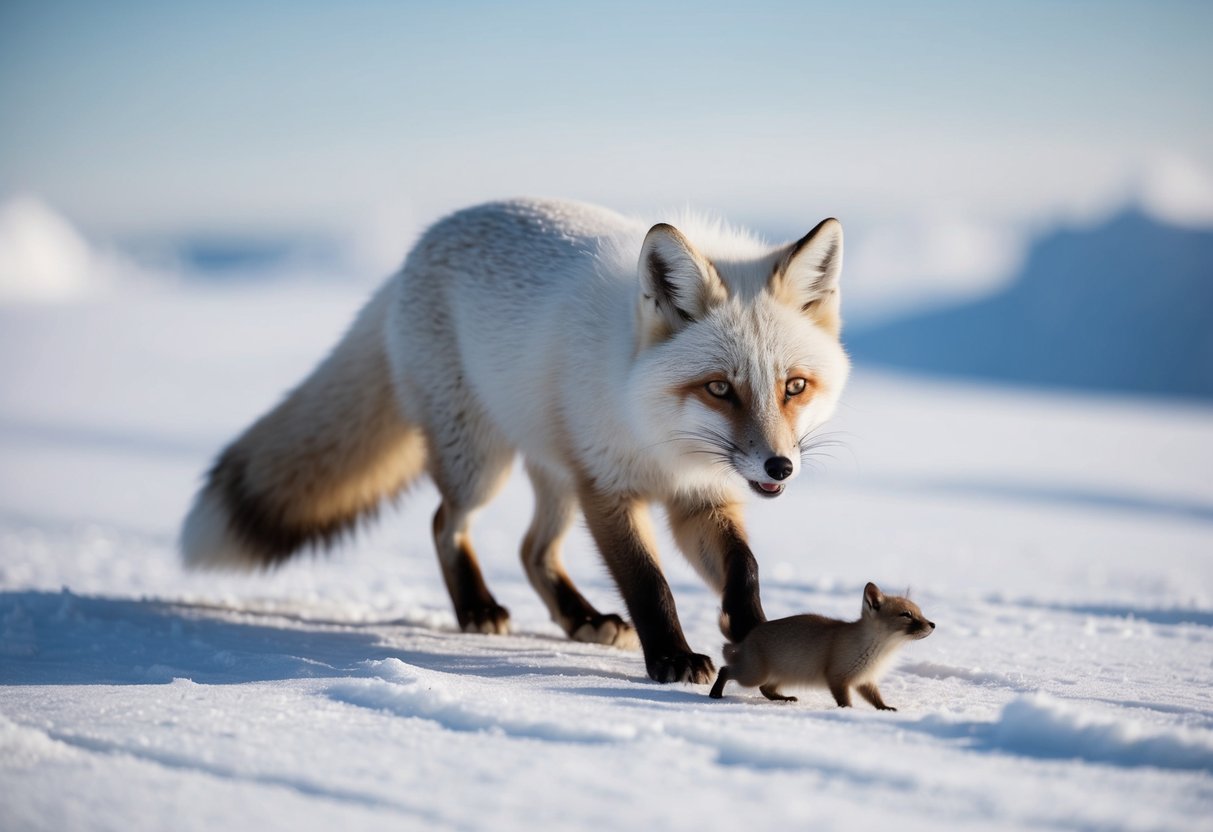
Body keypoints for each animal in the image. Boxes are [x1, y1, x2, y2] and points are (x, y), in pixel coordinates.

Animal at [181, 197, 851, 684]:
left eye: (793, 386)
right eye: (719, 388)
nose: (780, 466)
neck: (658, 436)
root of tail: (419, 247)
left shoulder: (702, 496)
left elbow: (746, 566)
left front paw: (754, 638)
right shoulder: (606, 488)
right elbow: (649, 583)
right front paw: (672, 659)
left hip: (553, 474)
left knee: (533, 551)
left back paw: (583, 619)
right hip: (483, 467)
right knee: (445, 523)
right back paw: (477, 609)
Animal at [708, 582, 935, 707]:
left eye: (920, 612)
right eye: (906, 615)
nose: (933, 625)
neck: (877, 652)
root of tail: (746, 638)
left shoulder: (865, 680)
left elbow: (876, 700)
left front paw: (886, 709)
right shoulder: (837, 677)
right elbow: (845, 701)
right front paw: (848, 712)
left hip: (778, 677)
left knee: (765, 689)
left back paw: (785, 698)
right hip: (753, 675)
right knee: (725, 669)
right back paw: (715, 694)